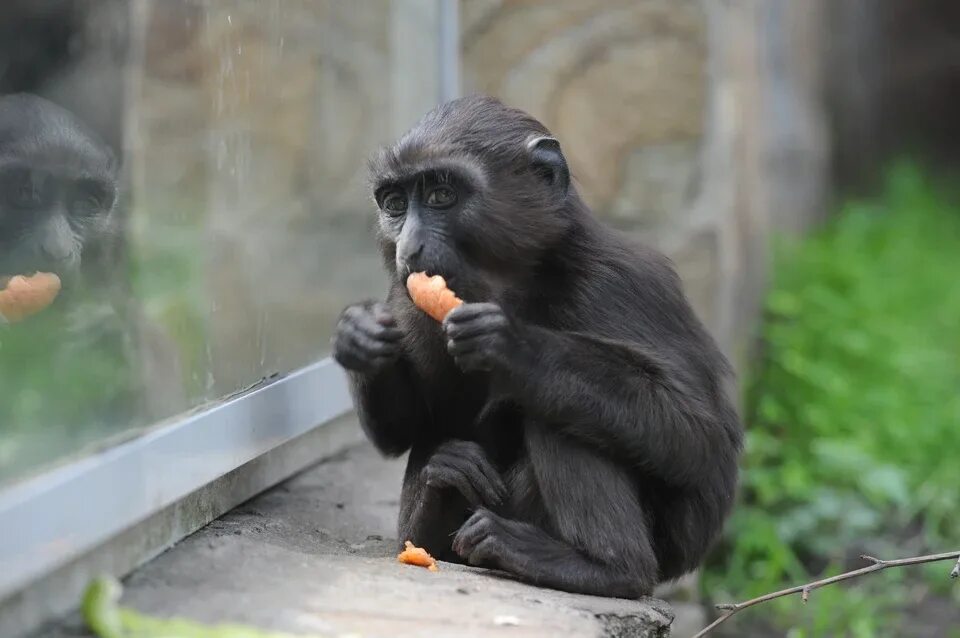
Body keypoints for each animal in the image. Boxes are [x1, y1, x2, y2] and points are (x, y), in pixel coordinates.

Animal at [334, 95, 748, 600]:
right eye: (395, 204)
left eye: (440, 196)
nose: (408, 248)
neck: (511, 282)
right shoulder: (404, 296)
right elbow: (404, 427)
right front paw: (359, 336)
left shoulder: (621, 281)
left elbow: (701, 440)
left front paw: (514, 349)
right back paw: (435, 507)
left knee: (560, 411)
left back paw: (606, 567)